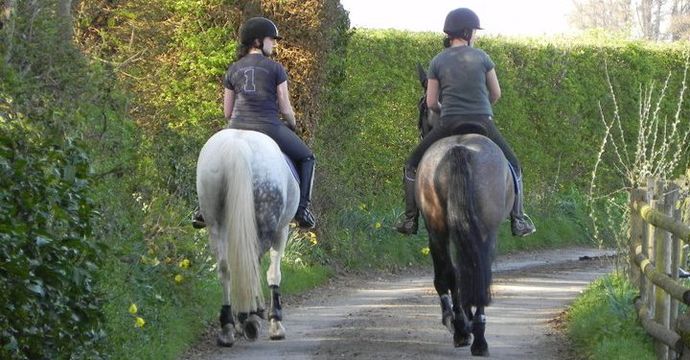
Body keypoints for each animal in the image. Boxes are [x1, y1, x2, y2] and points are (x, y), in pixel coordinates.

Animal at [196, 129, 298, 346]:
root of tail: (238, 146)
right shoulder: (281, 230)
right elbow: (273, 273)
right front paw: (274, 322)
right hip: (267, 218)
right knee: (251, 265)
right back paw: (250, 319)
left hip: (215, 224)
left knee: (225, 269)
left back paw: (228, 326)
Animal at [414, 64, 510, 354]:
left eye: (421, 107)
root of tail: (459, 147)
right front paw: (465, 322)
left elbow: (448, 274)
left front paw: (457, 321)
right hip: (486, 228)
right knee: (479, 270)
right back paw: (477, 336)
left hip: (438, 227)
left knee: (450, 273)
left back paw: (461, 328)